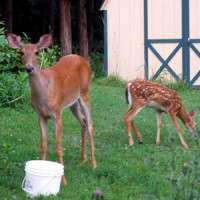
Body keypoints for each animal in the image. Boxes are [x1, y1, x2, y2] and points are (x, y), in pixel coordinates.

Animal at [8, 33, 97, 185]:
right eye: (21, 52)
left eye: (37, 52)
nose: (29, 68)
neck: (43, 96)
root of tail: (83, 59)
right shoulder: (40, 116)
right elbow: (43, 145)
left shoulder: (57, 113)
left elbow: (59, 148)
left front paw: (63, 181)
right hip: (73, 102)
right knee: (83, 122)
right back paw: (82, 160)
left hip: (85, 93)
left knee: (90, 123)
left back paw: (94, 165)